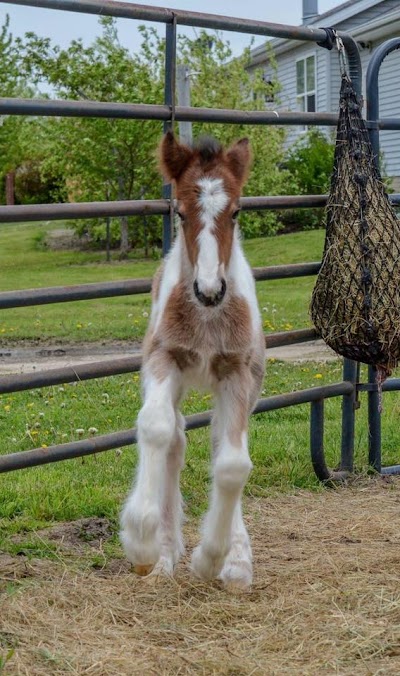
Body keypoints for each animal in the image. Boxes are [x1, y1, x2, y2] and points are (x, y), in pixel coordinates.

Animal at [122, 131, 266, 588]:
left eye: (236, 211)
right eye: (180, 213)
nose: (209, 290)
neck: (206, 317)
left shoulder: (237, 373)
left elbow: (233, 463)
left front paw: (213, 559)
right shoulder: (163, 359)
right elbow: (156, 427)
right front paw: (143, 543)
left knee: (222, 440)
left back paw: (235, 560)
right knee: (176, 437)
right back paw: (165, 553)